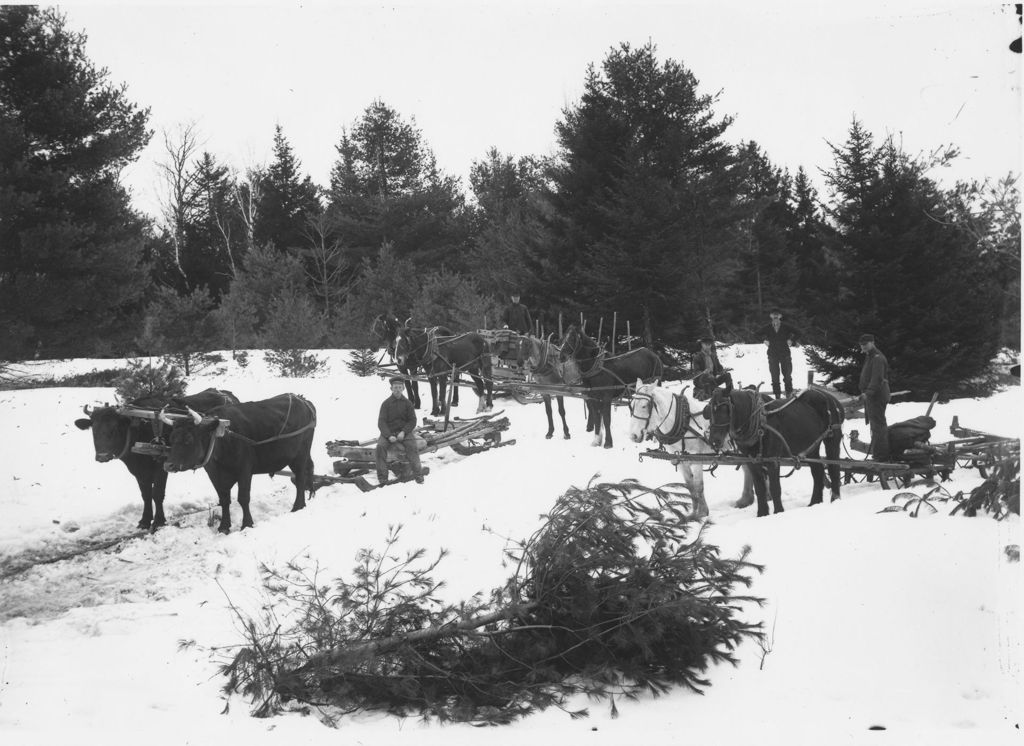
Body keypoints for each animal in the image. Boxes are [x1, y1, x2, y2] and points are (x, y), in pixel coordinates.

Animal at [622, 378, 753, 517]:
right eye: (632, 406)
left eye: (644, 406)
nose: (633, 435)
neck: (683, 421)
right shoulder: (679, 460)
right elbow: (690, 486)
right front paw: (693, 513)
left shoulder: (696, 458)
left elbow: (699, 485)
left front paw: (702, 513)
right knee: (748, 468)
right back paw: (746, 499)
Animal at [708, 380, 843, 515]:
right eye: (710, 411)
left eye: (724, 408)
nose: (714, 441)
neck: (760, 424)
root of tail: (831, 398)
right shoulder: (752, 462)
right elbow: (760, 489)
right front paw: (762, 514)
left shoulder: (773, 460)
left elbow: (775, 488)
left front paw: (778, 511)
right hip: (811, 446)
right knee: (817, 472)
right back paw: (815, 502)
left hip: (832, 440)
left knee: (834, 468)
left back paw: (835, 499)